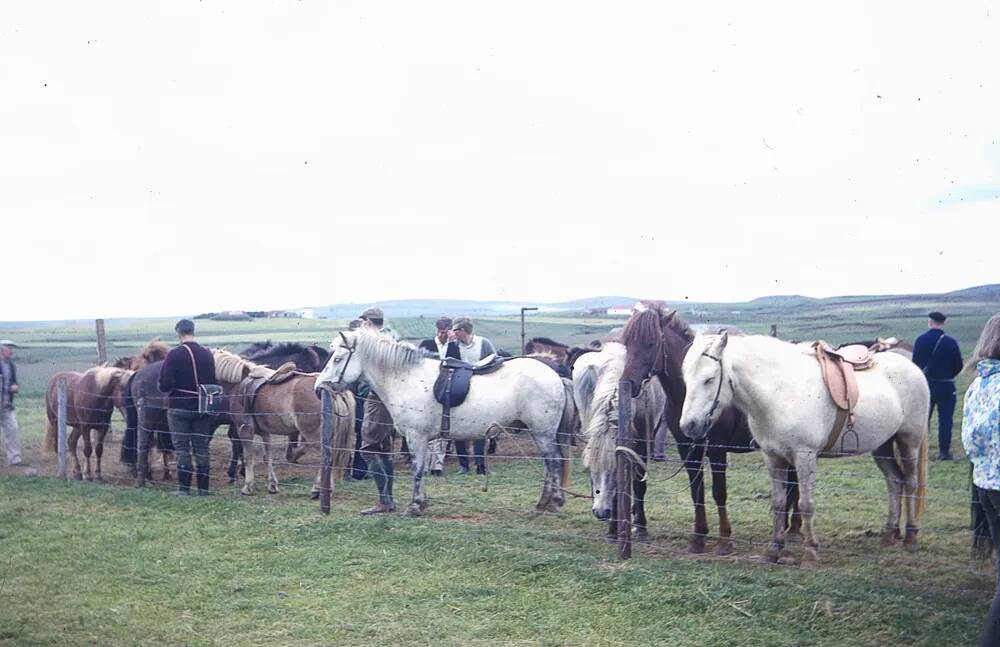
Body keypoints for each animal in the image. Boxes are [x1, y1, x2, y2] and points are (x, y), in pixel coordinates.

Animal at [316, 330, 576, 516]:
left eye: (338, 359)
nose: (319, 389)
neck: (407, 378)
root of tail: (556, 376)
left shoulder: (416, 436)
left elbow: (417, 469)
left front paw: (414, 506)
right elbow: (414, 468)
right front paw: (420, 502)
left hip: (542, 432)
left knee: (553, 462)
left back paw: (552, 503)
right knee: (550, 464)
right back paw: (545, 502)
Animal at [620, 306, 800, 556]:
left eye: (650, 343)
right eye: (627, 343)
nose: (629, 383)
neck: (690, 393)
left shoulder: (716, 448)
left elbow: (718, 491)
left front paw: (725, 541)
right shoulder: (687, 448)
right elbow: (697, 491)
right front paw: (698, 538)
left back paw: (793, 529)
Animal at [680, 334, 928, 568]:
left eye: (709, 379)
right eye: (685, 378)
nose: (688, 426)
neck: (778, 392)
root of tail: (913, 367)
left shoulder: (804, 457)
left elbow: (805, 504)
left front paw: (810, 553)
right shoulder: (773, 458)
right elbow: (778, 504)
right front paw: (773, 550)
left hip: (909, 441)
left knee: (910, 483)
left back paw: (910, 537)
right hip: (882, 446)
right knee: (894, 482)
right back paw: (889, 534)